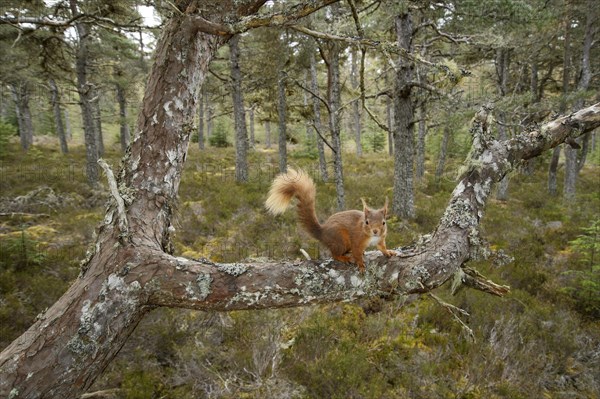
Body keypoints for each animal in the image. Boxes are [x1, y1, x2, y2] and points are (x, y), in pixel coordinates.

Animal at [264, 167, 396, 274]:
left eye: (384, 222)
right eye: (367, 222)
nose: (375, 231)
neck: (371, 236)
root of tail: (322, 233)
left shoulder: (381, 239)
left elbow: (382, 247)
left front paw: (388, 252)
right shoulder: (357, 240)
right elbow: (357, 254)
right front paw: (361, 265)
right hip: (340, 239)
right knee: (334, 255)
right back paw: (345, 257)